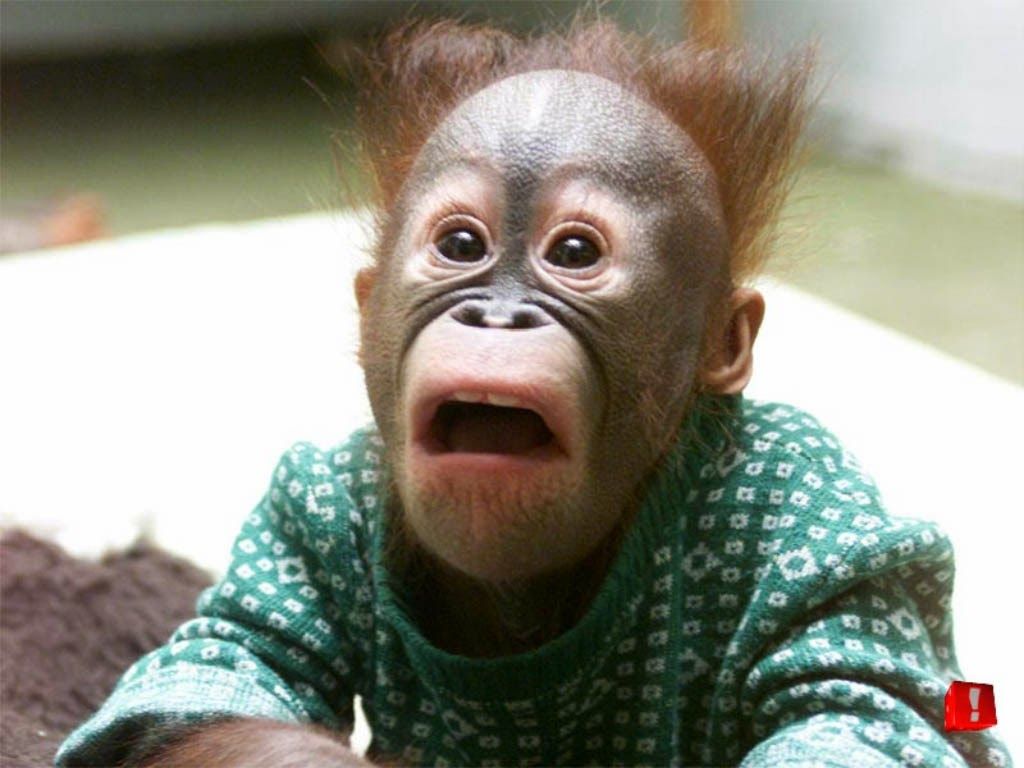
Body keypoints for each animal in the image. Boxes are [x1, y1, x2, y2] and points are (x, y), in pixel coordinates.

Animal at [56, 19, 1012, 768]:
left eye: (575, 253)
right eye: (461, 244)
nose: (497, 314)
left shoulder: (811, 509)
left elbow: (857, 701)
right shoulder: (305, 509)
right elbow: (220, 673)